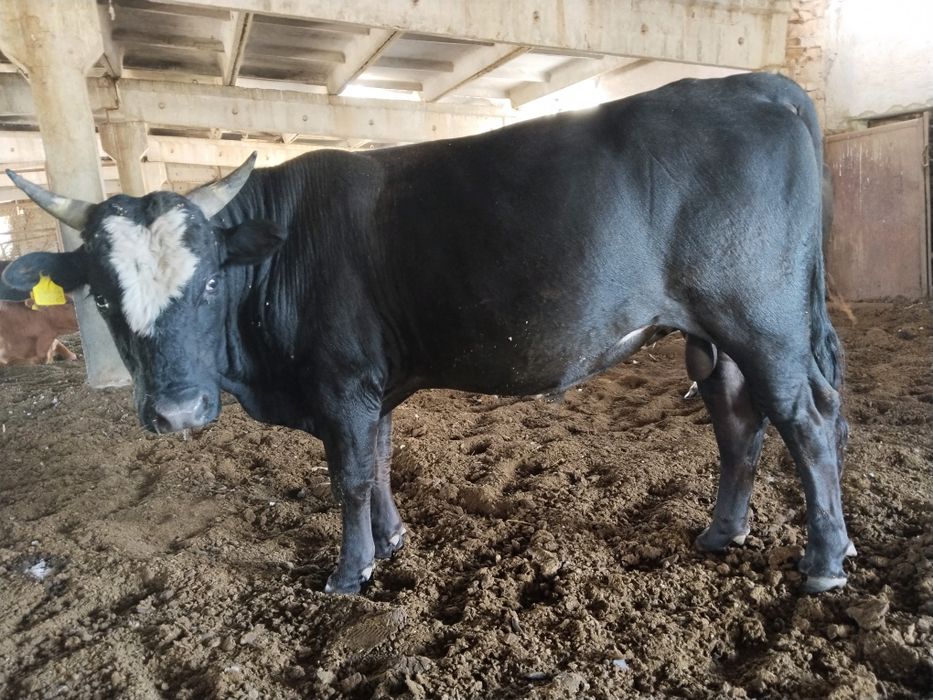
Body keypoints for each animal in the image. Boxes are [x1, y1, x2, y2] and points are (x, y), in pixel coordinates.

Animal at [3, 73, 852, 595]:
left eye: (209, 280)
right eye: (104, 296)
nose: (176, 412)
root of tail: (756, 82)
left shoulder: (341, 382)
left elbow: (348, 477)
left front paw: (349, 574)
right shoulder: (370, 388)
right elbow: (379, 464)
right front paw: (389, 543)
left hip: (763, 320)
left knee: (806, 421)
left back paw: (822, 561)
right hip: (717, 336)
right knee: (739, 423)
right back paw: (723, 532)